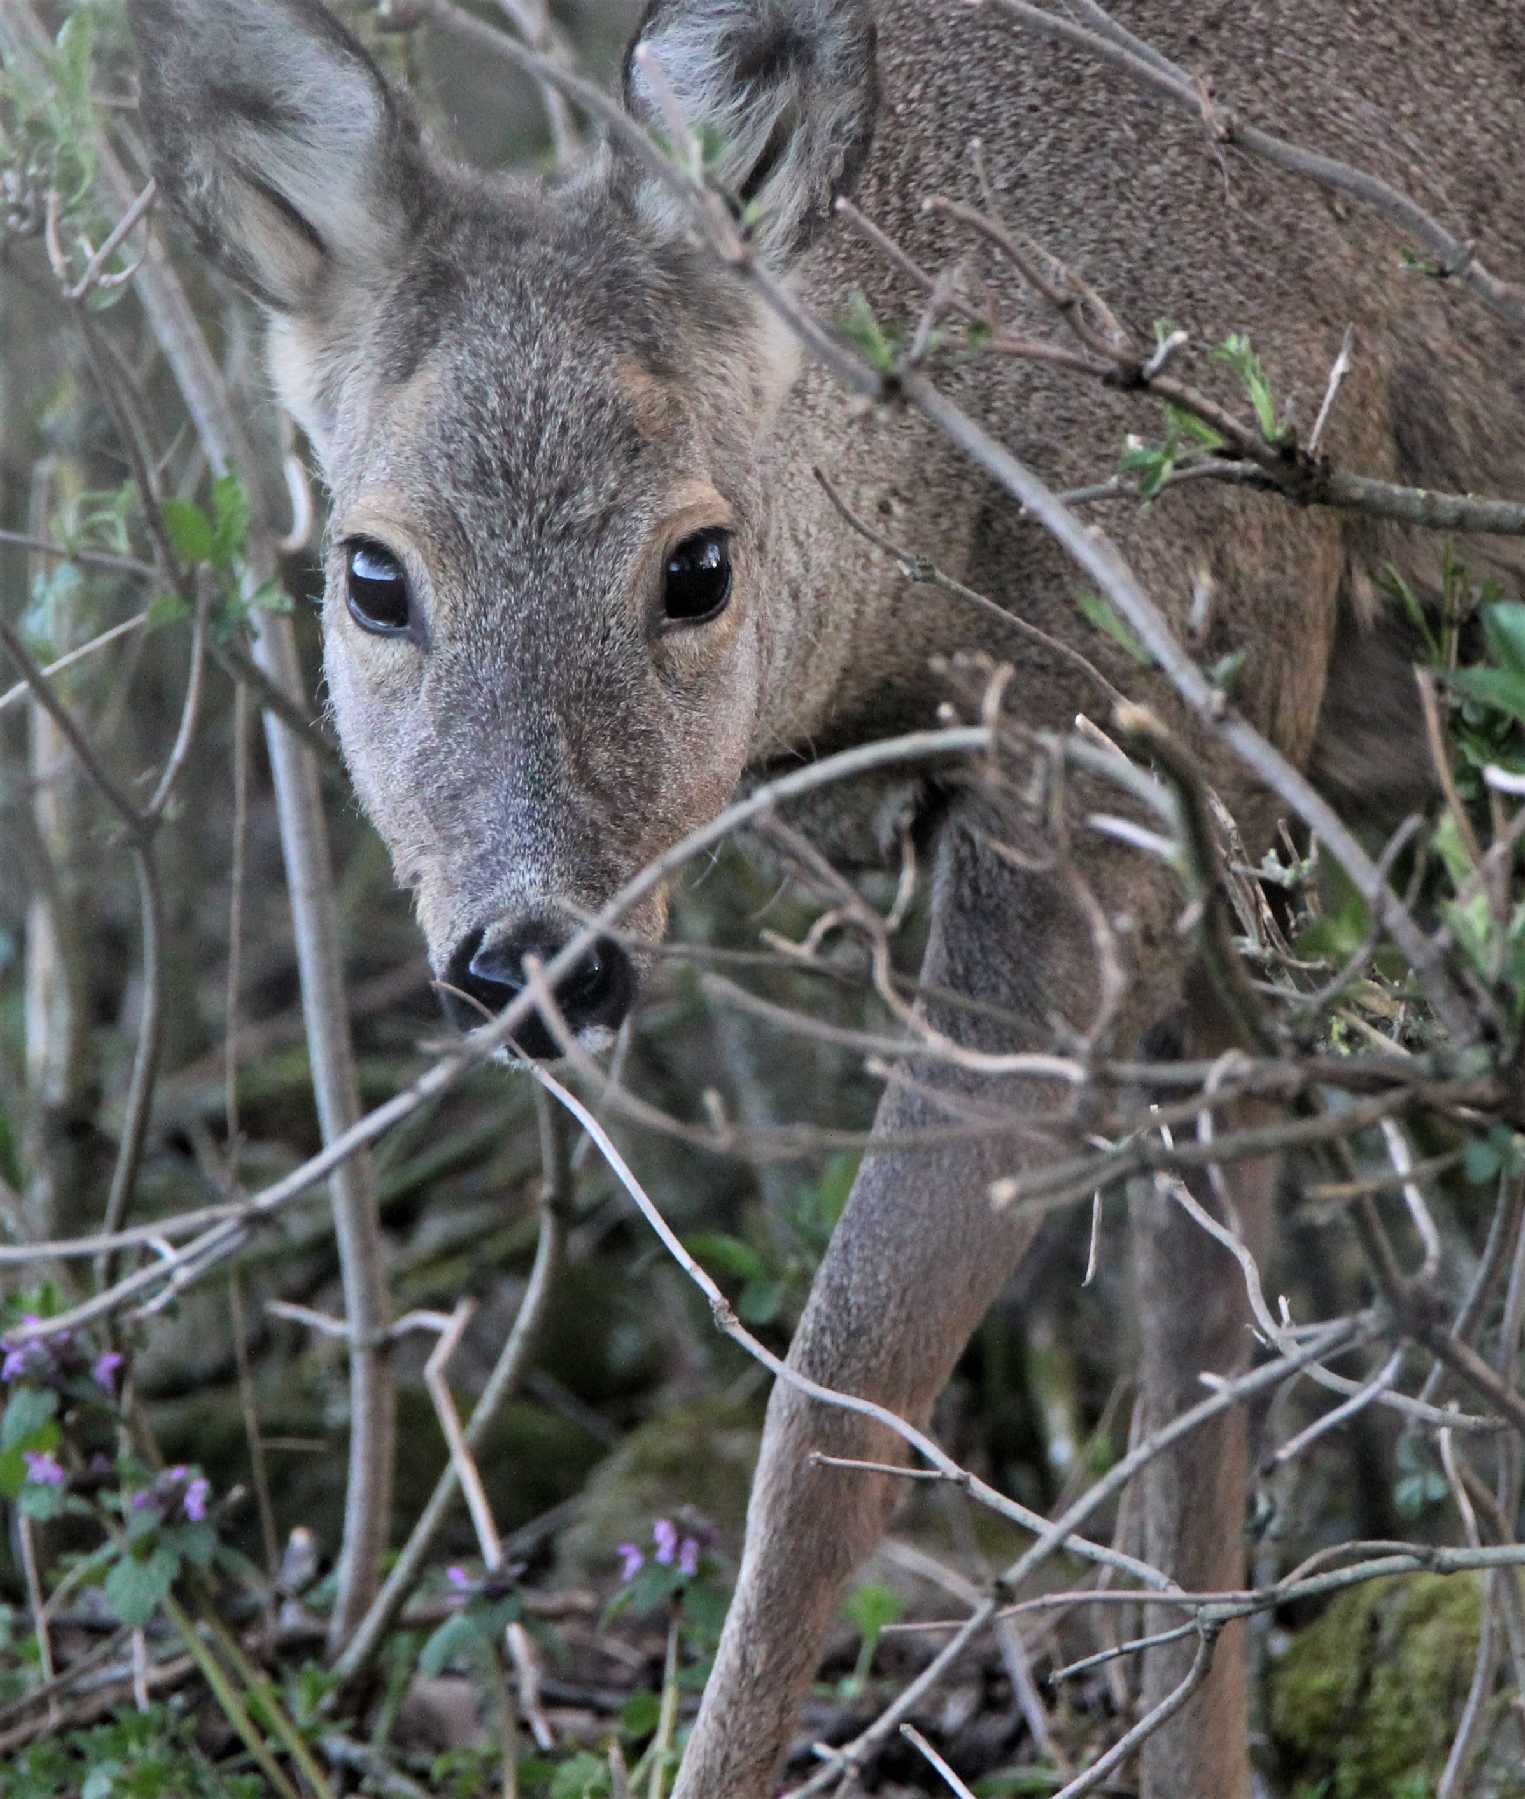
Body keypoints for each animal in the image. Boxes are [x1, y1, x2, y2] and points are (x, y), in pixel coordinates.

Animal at [131, 0, 1525, 1791]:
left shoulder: (1150, 725)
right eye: (372, 572)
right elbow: (1198, 1331)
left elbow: (844, 1391)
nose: (533, 952)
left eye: (698, 562)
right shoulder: (1224, 829)